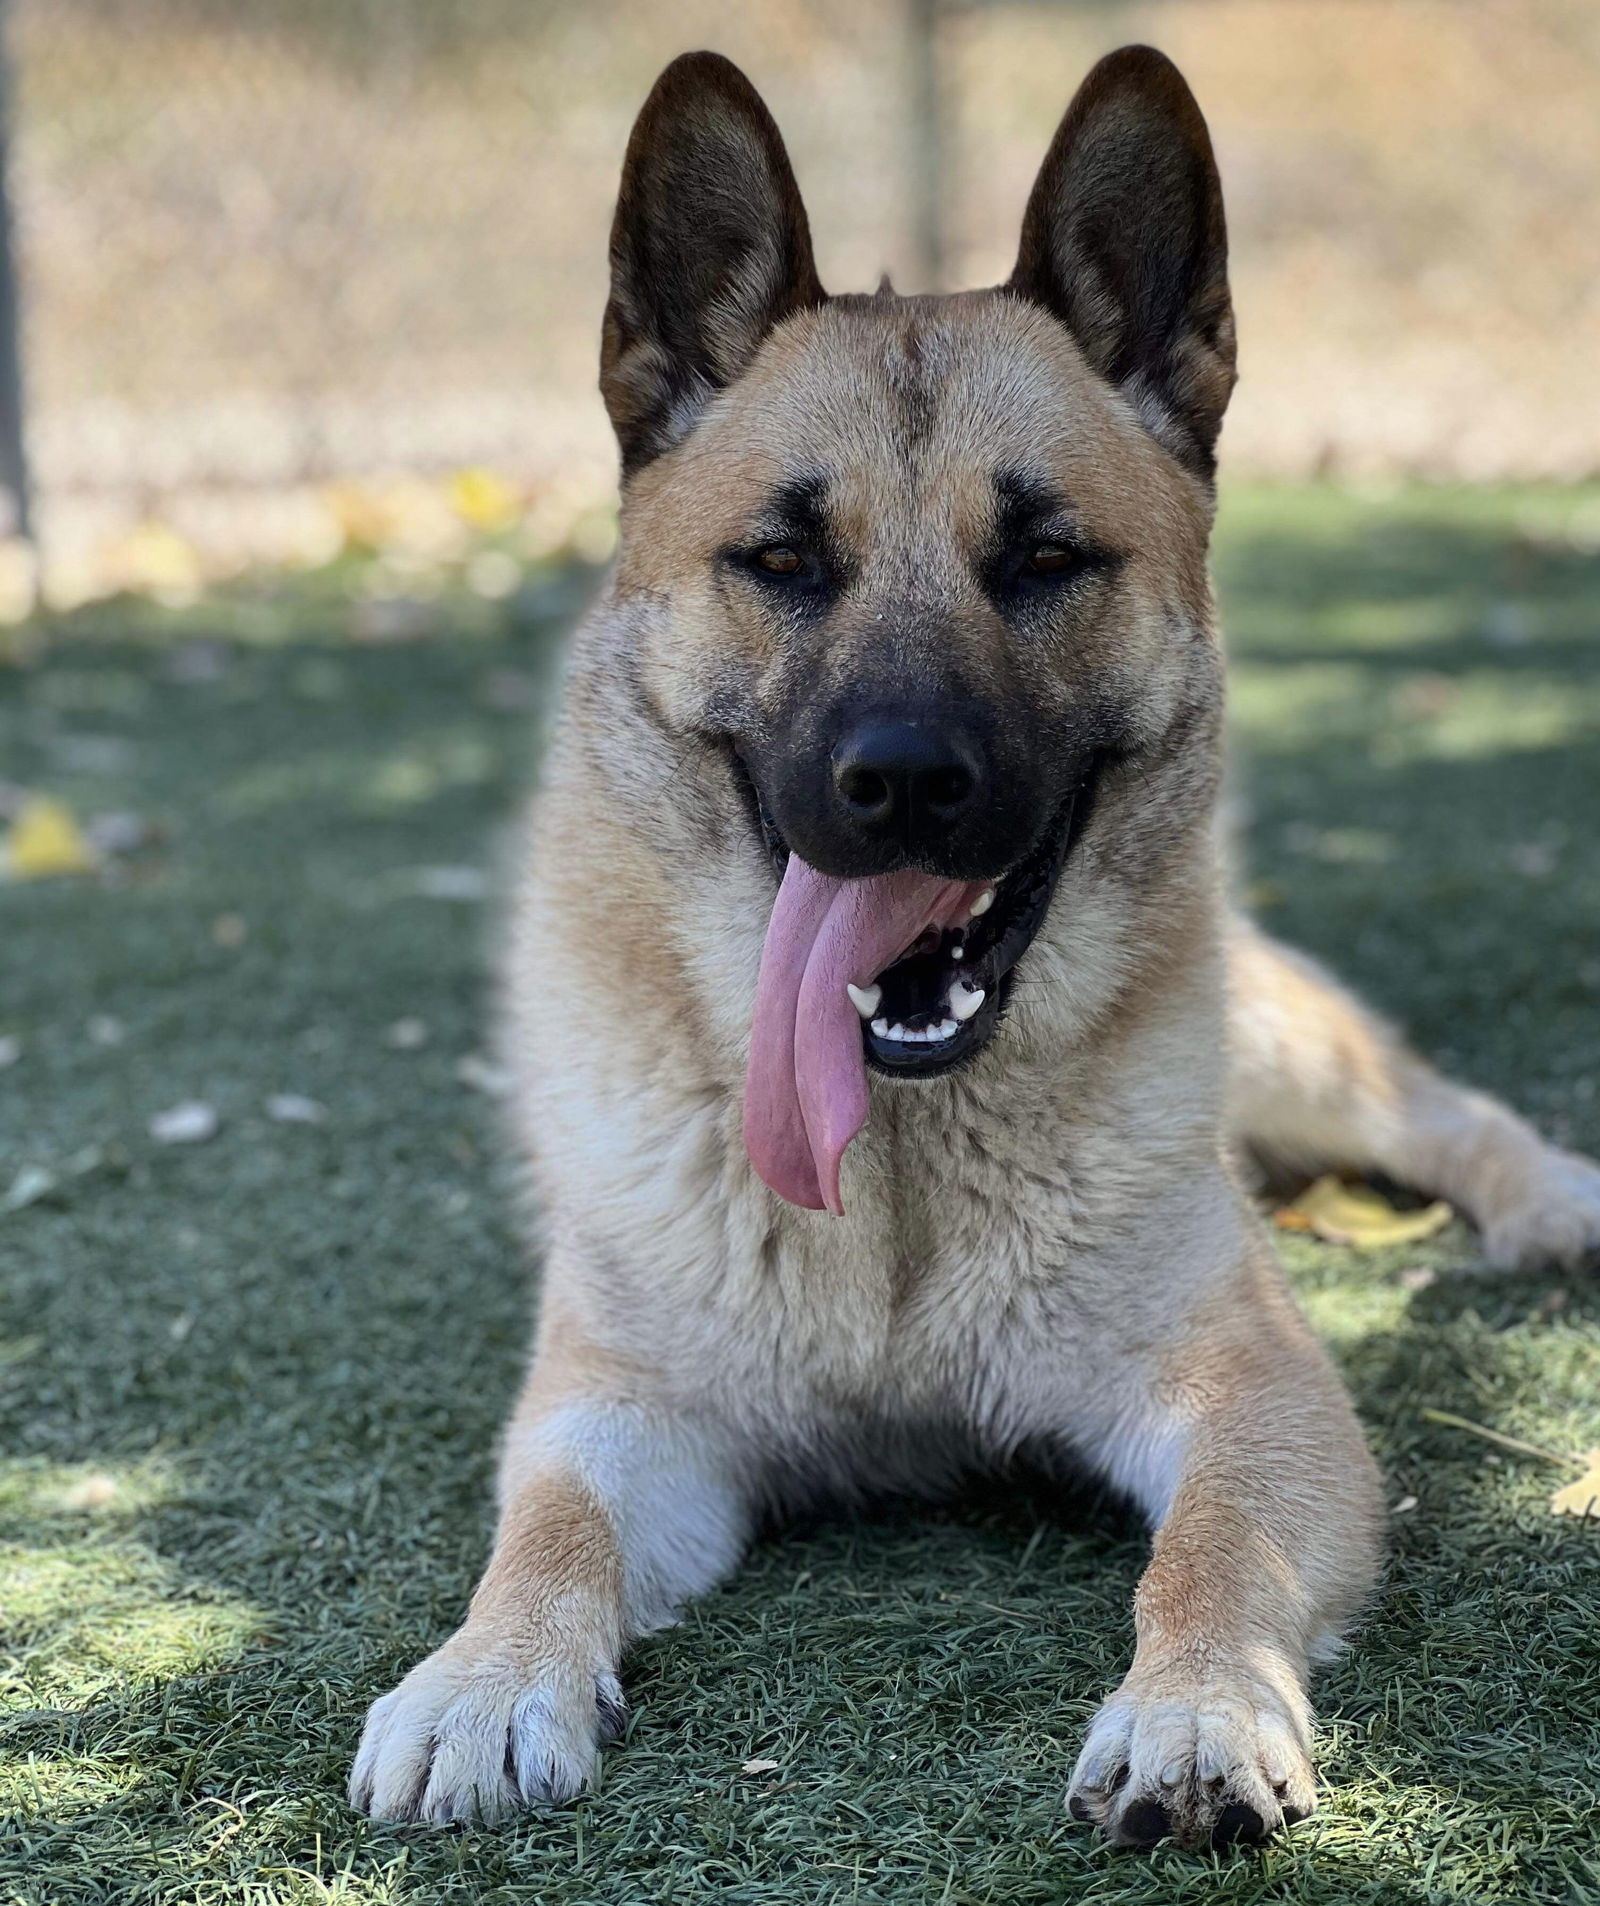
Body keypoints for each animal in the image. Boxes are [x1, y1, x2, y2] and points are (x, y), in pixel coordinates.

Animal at [352, 44, 1600, 1845]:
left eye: (1045, 557)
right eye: (782, 559)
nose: (903, 784)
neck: (901, 1164)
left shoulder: (1257, 1395)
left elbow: (1211, 1551)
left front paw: (1196, 1706)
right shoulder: (617, 1416)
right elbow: (547, 1534)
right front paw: (483, 1674)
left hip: (1297, 1059)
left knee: (1442, 1111)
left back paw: (1549, 1193)